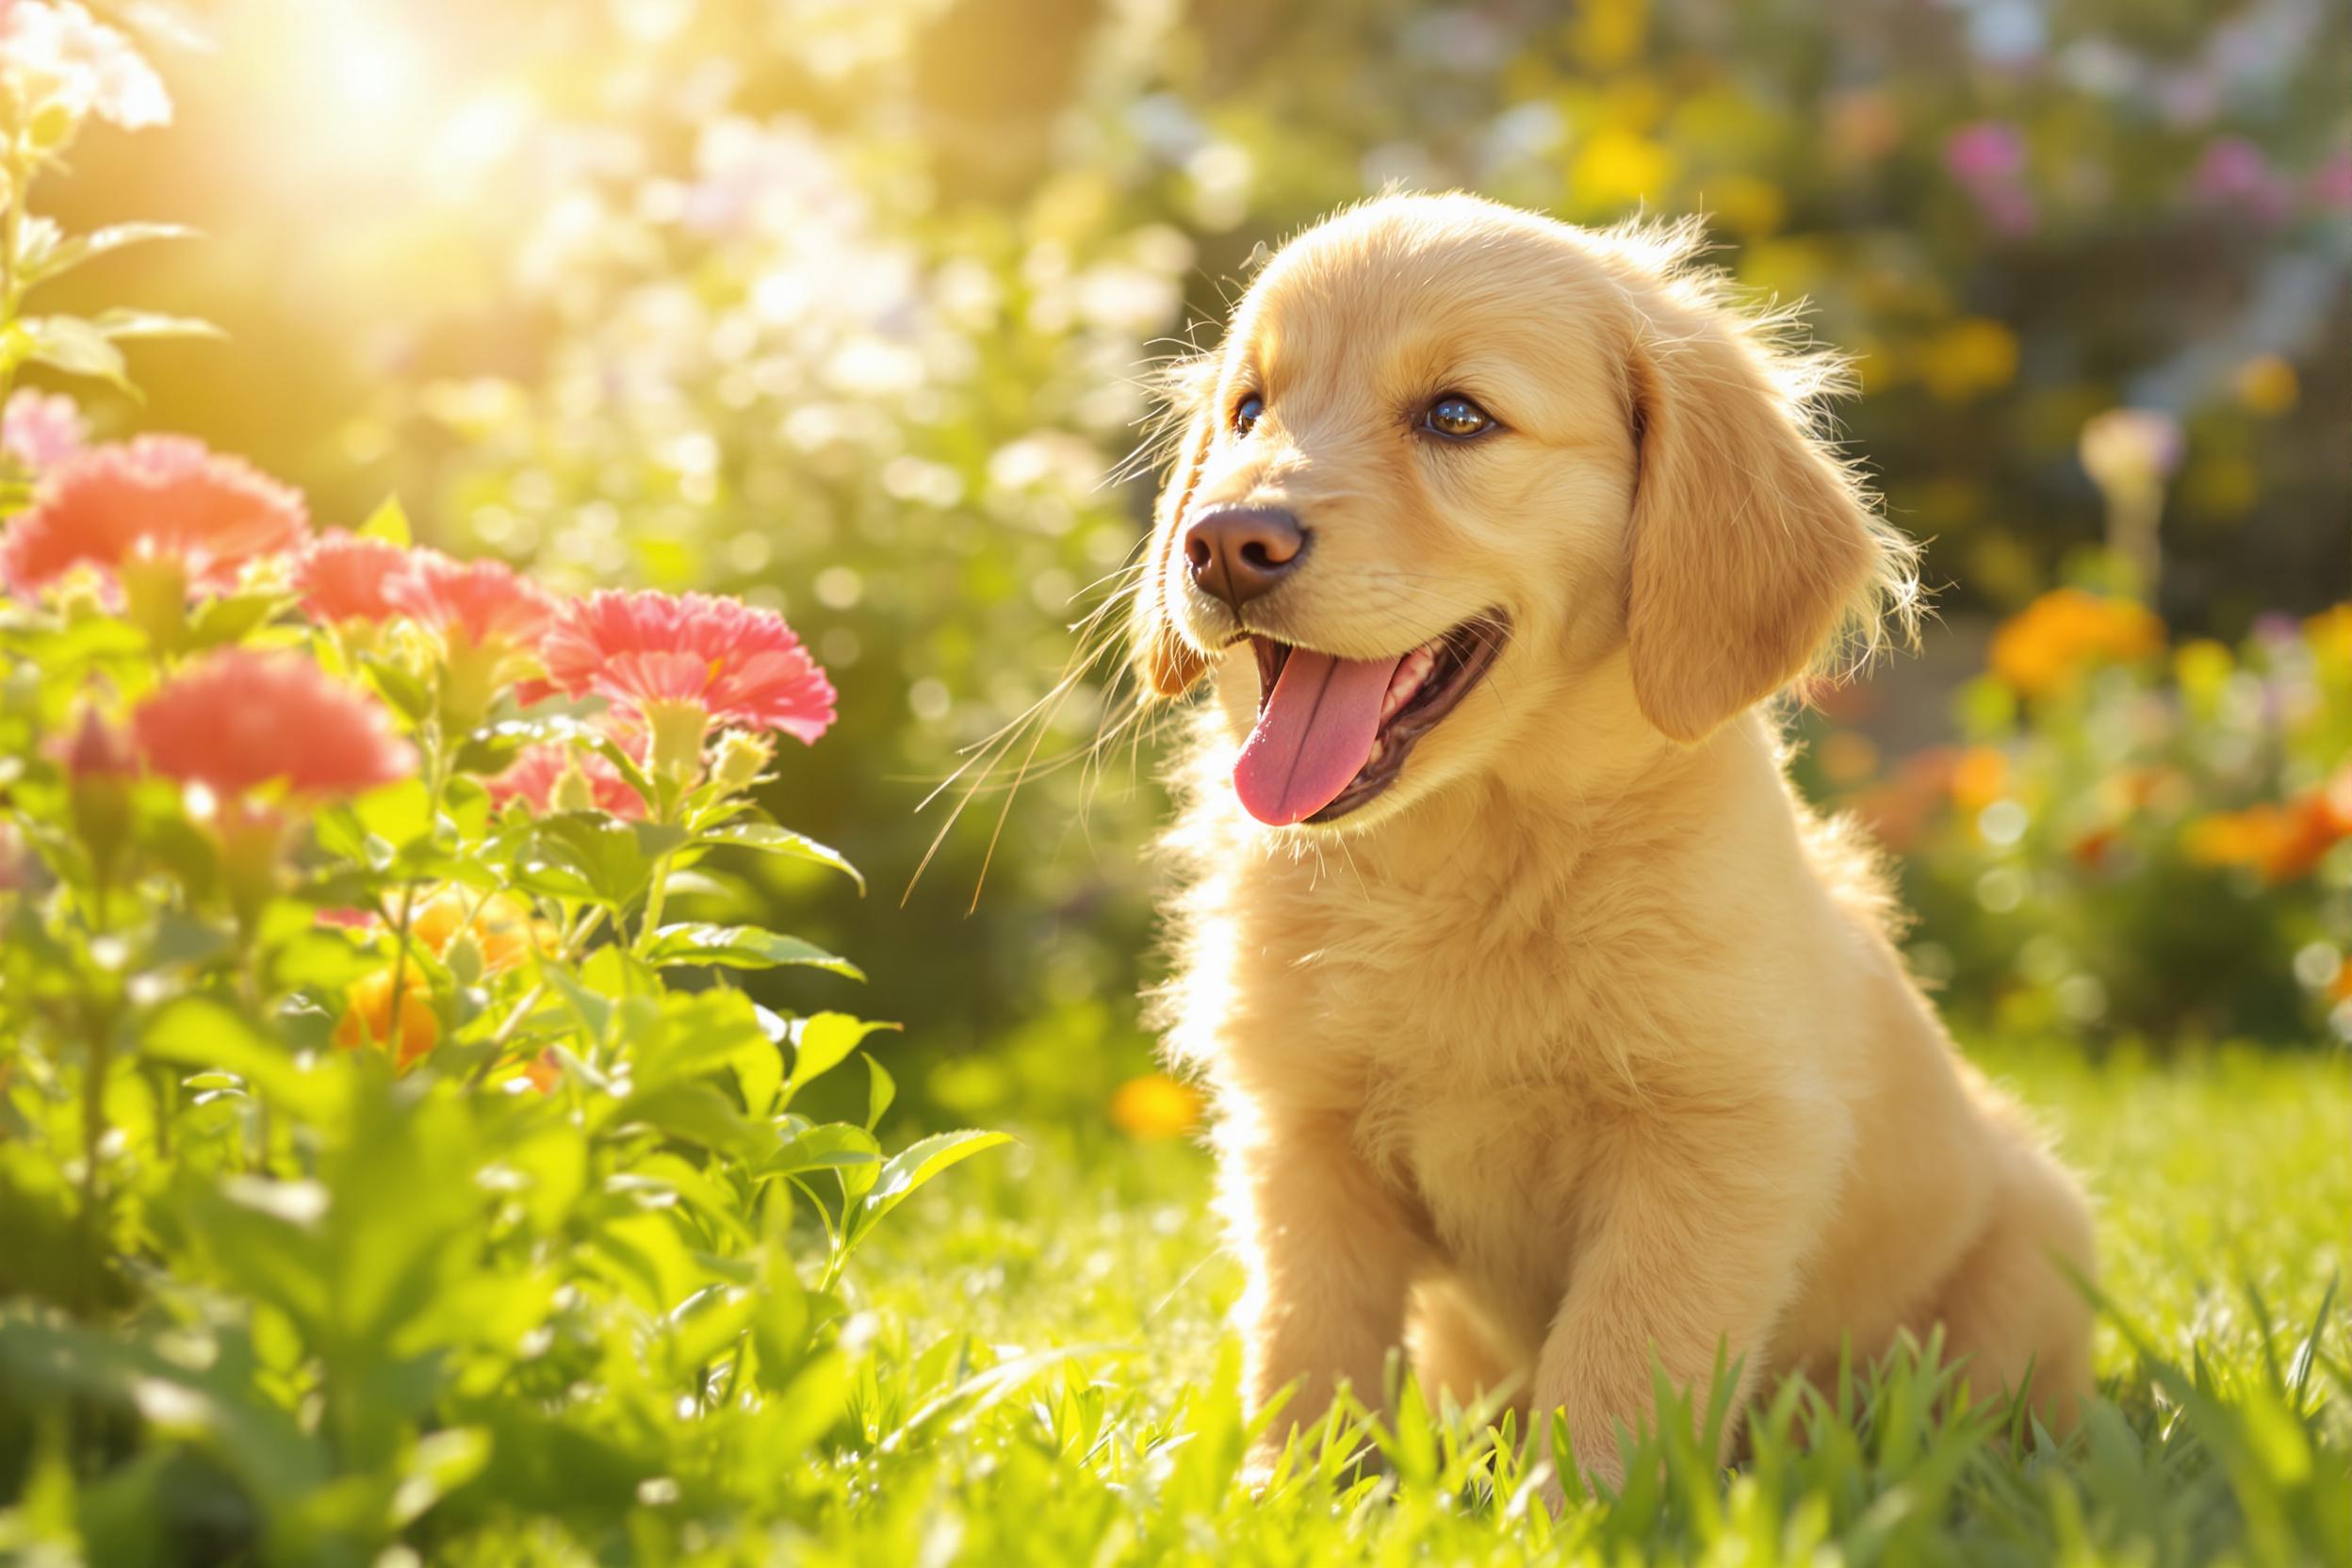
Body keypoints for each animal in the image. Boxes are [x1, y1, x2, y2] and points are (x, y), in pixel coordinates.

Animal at [1129, 190, 2107, 1494]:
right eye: (1248, 411)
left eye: (1456, 416)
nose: (1225, 541)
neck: (1467, 851)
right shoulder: (1297, 1131)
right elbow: (1308, 1336)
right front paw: (1289, 1498)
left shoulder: (1720, 1135)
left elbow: (1620, 1352)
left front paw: (1571, 1512)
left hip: (2032, 1245)